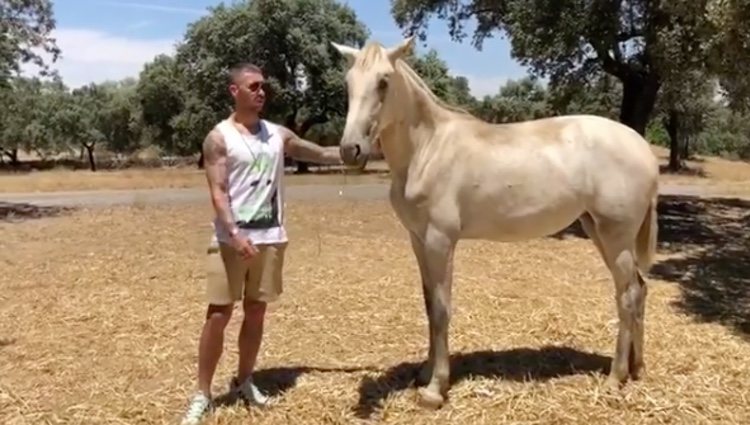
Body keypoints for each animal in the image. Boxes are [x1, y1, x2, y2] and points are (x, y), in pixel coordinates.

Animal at [332, 36, 660, 408]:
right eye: (348, 83)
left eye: (384, 81)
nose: (350, 150)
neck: (428, 149)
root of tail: (643, 148)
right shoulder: (418, 240)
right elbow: (429, 306)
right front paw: (425, 373)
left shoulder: (440, 241)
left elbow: (442, 310)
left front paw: (435, 389)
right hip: (598, 231)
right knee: (640, 289)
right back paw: (636, 368)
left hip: (615, 235)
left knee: (628, 295)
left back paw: (615, 378)